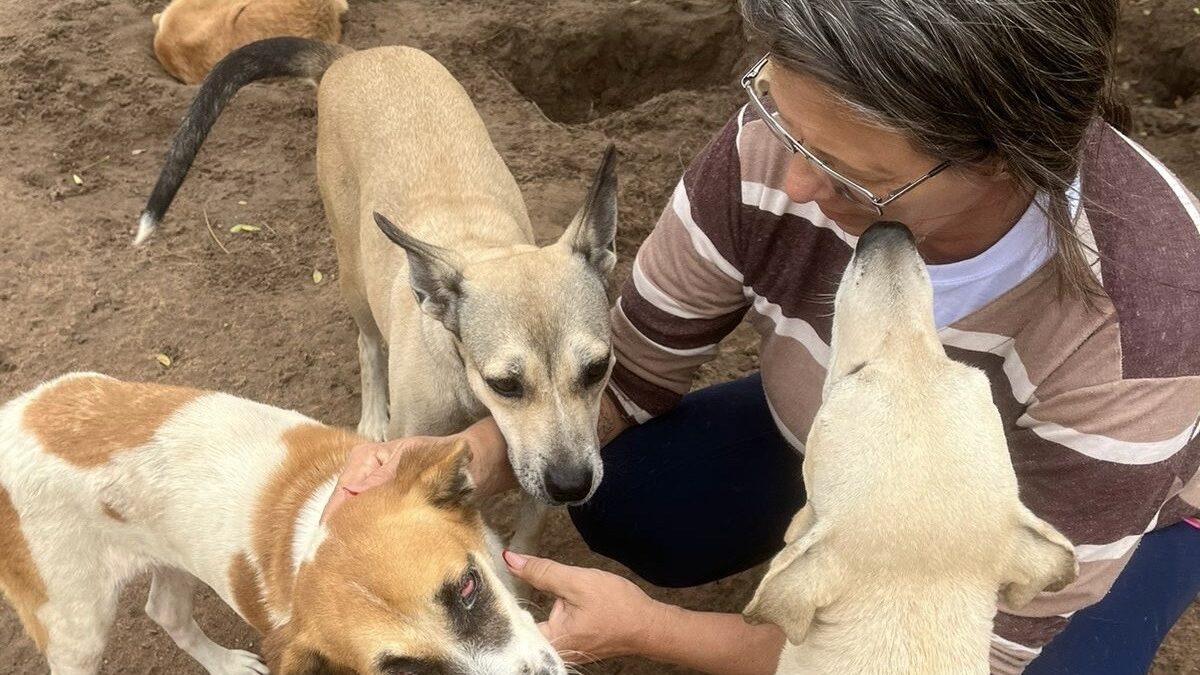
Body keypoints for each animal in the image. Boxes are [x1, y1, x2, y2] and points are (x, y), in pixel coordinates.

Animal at [0, 369, 568, 667]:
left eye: (468, 588)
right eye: (401, 672)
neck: (315, 517)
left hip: (172, 559)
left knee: (165, 611)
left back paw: (226, 665)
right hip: (76, 629)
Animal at [135, 36, 614, 514]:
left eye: (598, 369)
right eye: (506, 384)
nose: (571, 484)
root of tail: (351, 55)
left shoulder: (536, 485)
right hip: (353, 276)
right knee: (367, 344)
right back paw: (370, 416)